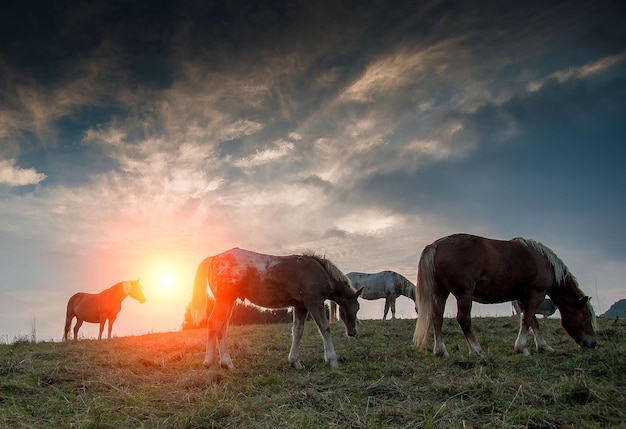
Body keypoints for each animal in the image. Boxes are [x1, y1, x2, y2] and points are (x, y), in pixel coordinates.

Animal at [189, 247, 360, 368]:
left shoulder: (301, 307)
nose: (353, 332)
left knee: (222, 329)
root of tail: (214, 258)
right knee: (214, 324)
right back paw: (212, 363)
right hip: (224, 301)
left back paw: (226, 364)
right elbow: (325, 328)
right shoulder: (314, 302)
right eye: (357, 307)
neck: (319, 271)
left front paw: (295, 362)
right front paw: (332, 360)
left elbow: (297, 331)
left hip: (228, 302)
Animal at [412, 232, 596, 356]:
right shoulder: (536, 294)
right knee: (463, 319)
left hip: (441, 291)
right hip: (463, 294)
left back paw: (441, 351)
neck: (543, 262)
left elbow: (533, 321)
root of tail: (436, 245)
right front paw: (521, 347)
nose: (592, 343)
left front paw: (543, 346)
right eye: (586, 317)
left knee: (437, 317)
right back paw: (477, 350)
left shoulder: (522, 298)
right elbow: (527, 320)